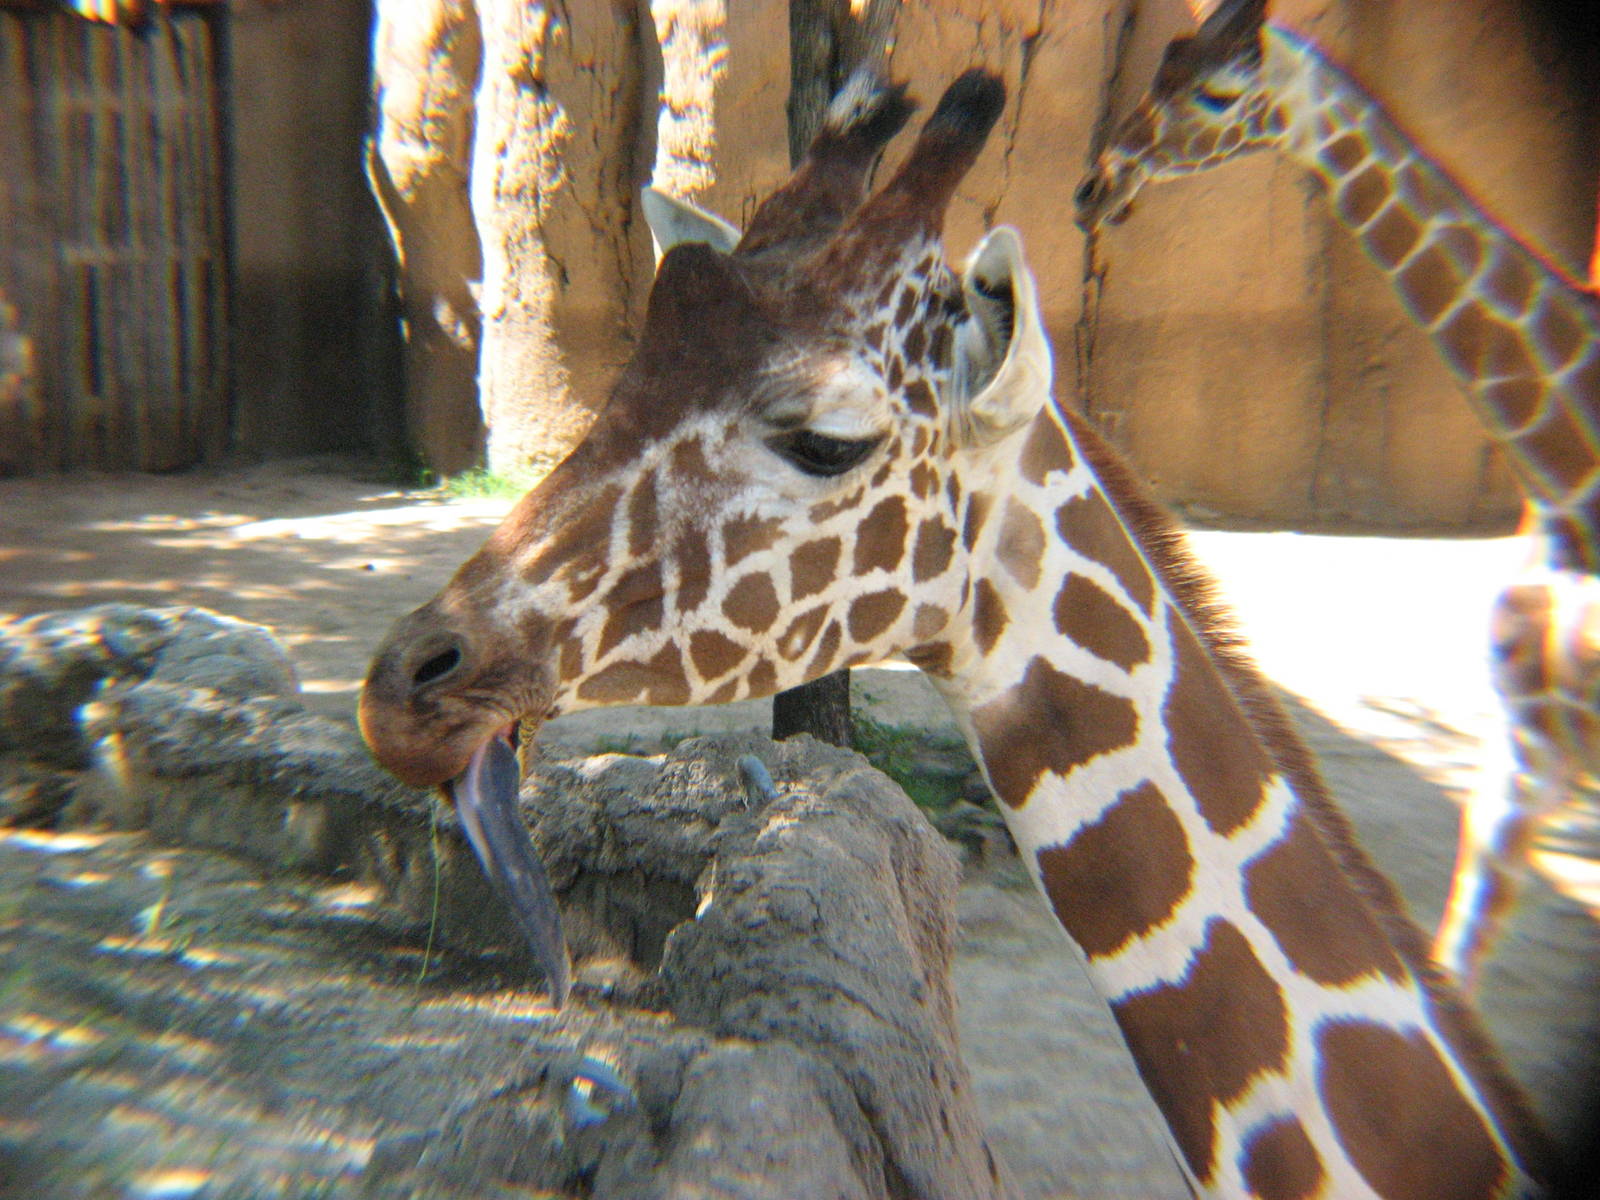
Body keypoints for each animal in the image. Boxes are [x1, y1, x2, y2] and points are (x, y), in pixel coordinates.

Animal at [1074, 0, 1600, 998]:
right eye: (1167, 56)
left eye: (1220, 91)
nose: (1095, 185)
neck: (1566, 476)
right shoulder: (1524, 747)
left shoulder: (1541, 754)